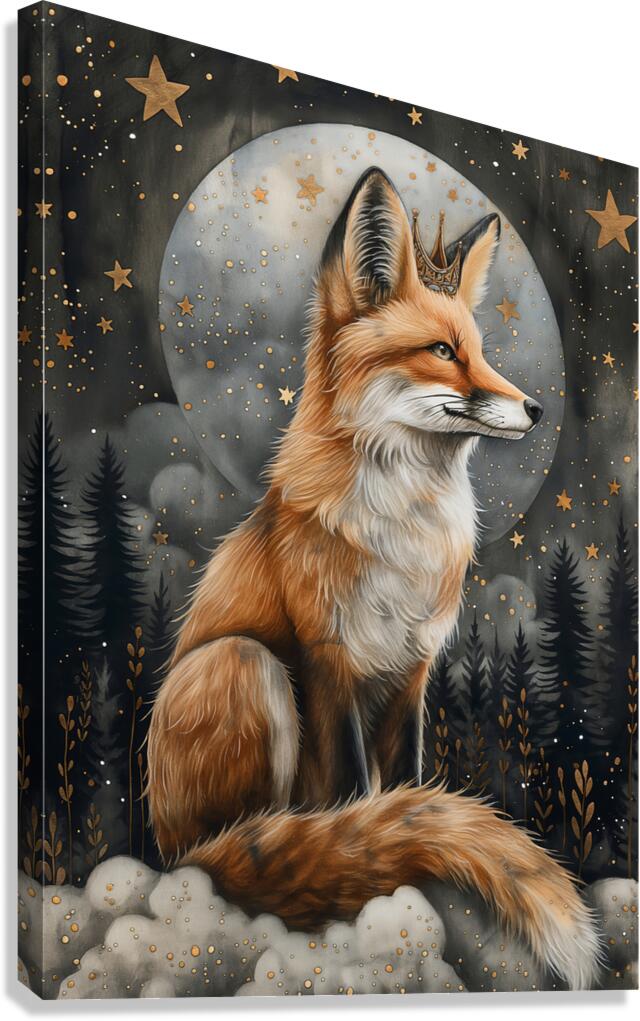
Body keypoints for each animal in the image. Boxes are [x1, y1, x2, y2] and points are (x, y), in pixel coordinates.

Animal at [147, 167, 601, 989]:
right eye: (442, 350)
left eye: (480, 350)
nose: (535, 407)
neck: (405, 534)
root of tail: (173, 854)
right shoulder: (333, 660)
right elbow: (360, 796)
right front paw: (371, 876)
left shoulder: (413, 667)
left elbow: (408, 784)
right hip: (245, 663)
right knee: (244, 845)